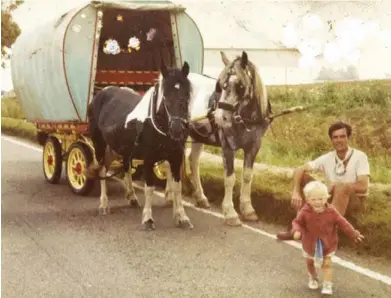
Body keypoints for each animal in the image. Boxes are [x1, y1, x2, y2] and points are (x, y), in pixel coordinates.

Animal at [87, 61, 194, 230]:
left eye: (186, 95)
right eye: (165, 96)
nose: (177, 129)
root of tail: (100, 93)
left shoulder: (176, 157)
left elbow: (177, 187)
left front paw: (182, 217)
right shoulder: (149, 158)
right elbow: (149, 187)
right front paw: (148, 219)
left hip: (122, 148)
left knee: (126, 168)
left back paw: (131, 197)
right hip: (100, 144)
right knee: (102, 170)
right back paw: (104, 204)